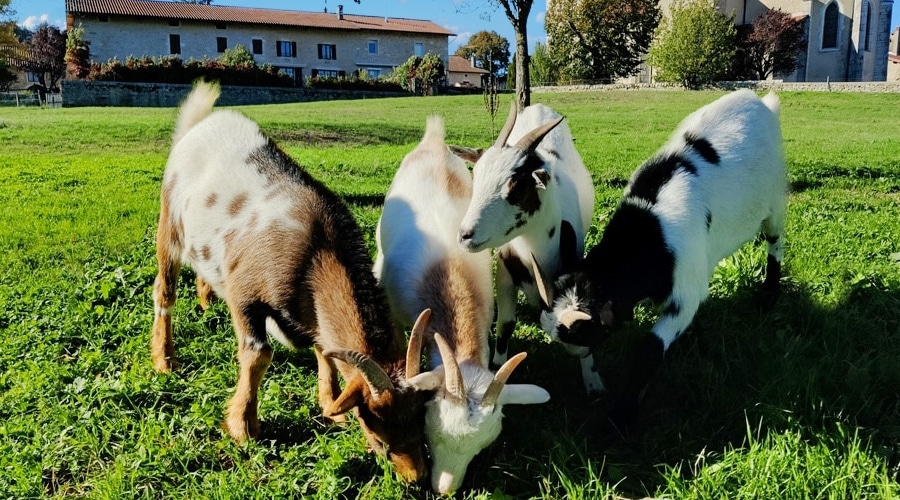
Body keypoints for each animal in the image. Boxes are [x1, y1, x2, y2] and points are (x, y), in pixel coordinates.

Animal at [151, 83, 442, 484]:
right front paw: (244, 426)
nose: (416, 477)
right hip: (169, 227)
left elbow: (324, 350)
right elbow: (257, 355)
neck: (318, 250)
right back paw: (165, 359)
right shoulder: (246, 295)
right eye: (376, 431)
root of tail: (200, 125)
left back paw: (206, 299)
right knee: (164, 291)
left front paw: (329, 403)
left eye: (420, 418)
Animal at [454, 100, 600, 390]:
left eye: (519, 187)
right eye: (475, 179)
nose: (464, 235)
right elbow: (506, 325)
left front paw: (593, 380)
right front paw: (497, 371)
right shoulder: (505, 275)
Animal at [536, 88, 788, 424]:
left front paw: (622, 415)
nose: (579, 357)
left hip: (774, 199)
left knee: (775, 241)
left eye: (590, 334)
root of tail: (762, 102)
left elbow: (650, 348)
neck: (650, 232)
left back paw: (769, 294)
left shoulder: (684, 292)